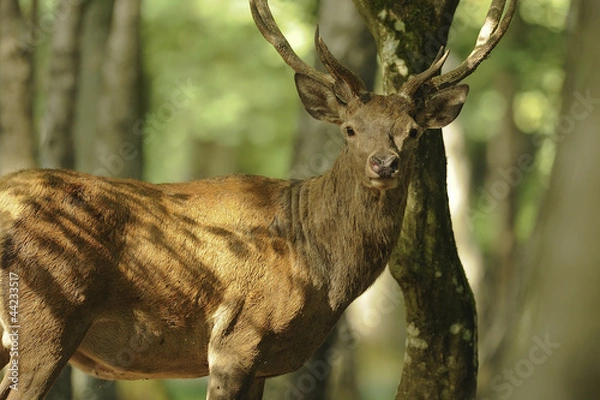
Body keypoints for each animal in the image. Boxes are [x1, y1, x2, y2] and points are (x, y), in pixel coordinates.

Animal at [0, 0, 516, 398]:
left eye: (412, 132)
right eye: (350, 130)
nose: (383, 164)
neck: (317, 266)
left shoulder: (264, 364)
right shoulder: (236, 340)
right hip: (46, 315)